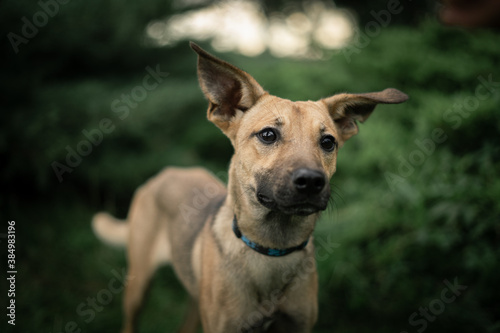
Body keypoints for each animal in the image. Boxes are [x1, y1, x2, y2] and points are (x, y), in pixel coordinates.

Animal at [92, 42, 408, 332]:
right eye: (268, 135)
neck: (272, 249)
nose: (311, 182)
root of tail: (167, 173)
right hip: (138, 284)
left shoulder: (298, 324)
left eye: (328, 142)